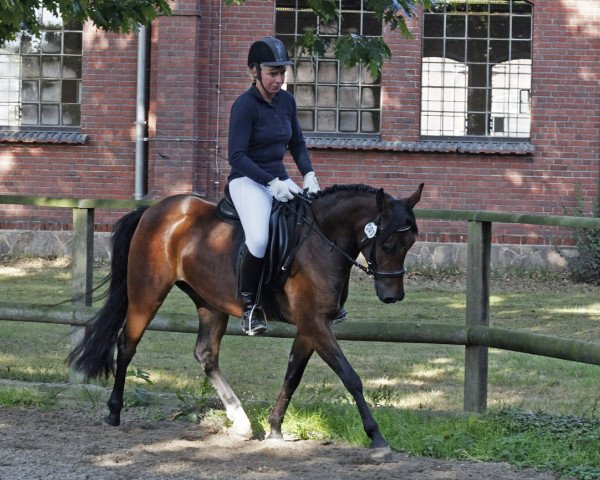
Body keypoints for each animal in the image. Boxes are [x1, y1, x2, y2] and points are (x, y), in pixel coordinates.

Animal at [68, 183, 424, 458]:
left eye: (410, 243)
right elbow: (350, 377)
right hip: (147, 291)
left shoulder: (310, 326)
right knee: (127, 344)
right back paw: (114, 411)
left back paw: (241, 422)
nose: (392, 296)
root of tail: (153, 210)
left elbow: (292, 376)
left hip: (209, 302)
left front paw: (275, 428)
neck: (320, 239)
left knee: (206, 354)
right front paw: (376, 438)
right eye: (388, 244)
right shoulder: (315, 323)